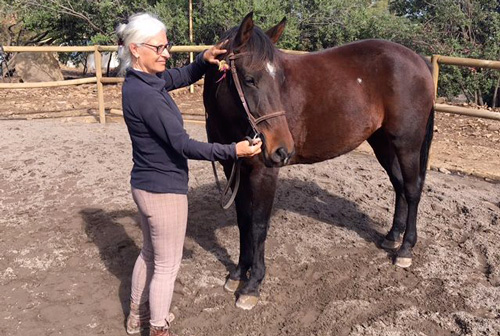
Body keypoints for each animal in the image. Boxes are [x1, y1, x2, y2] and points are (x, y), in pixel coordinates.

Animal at [202, 11, 434, 310]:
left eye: (279, 81)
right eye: (250, 79)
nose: (282, 149)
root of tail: (418, 60)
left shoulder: (264, 172)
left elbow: (258, 225)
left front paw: (253, 285)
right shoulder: (235, 167)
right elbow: (244, 221)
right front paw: (239, 273)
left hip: (407, 144)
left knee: (413, 189)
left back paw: (405, 249)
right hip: (382, 142)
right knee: (400, 186)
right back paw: (392, 237)